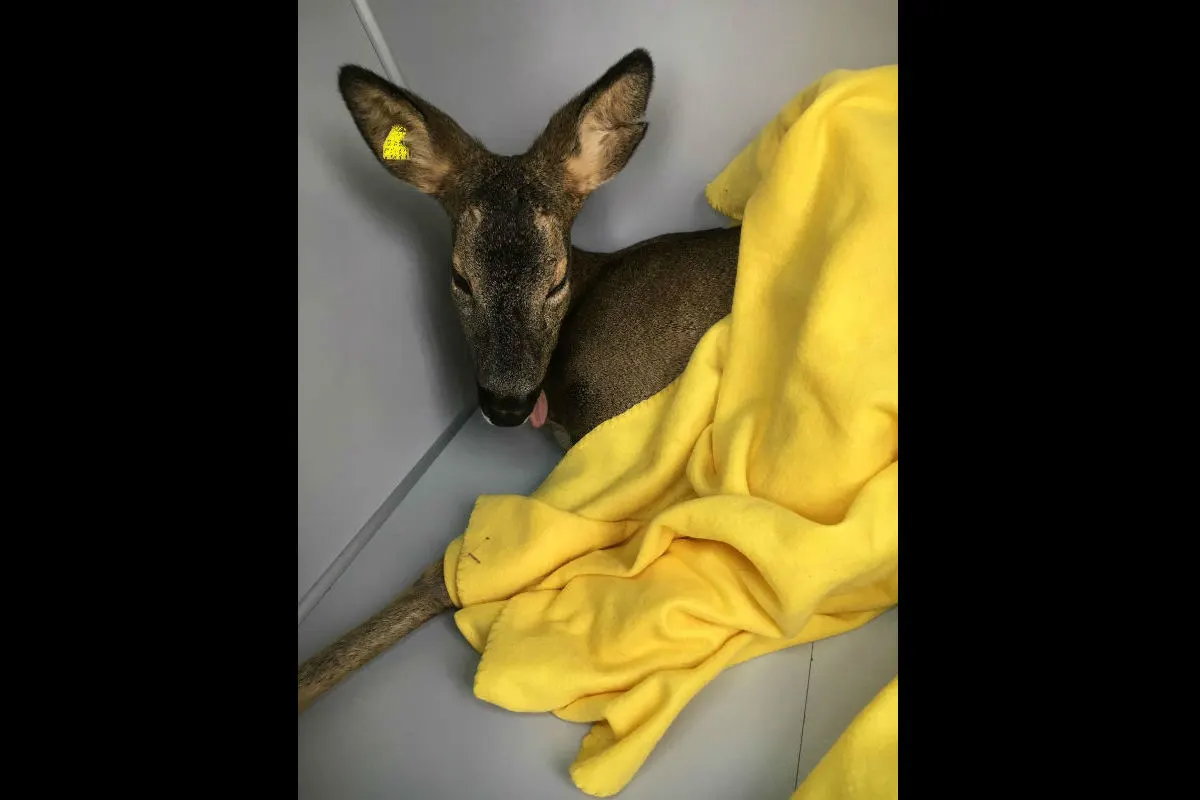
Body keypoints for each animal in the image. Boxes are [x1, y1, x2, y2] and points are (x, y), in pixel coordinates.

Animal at [299, 48, 740, 713]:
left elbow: (459, 570)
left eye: (556, 280)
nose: (506, 405)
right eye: (459, 277)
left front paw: (312, 675)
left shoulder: (634, 430)